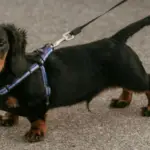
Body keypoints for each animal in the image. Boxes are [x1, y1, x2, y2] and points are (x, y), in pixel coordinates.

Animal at [0, 15, 150, 142]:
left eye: (2, 43)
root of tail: (116, 39)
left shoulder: (37, 101)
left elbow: (36, 118)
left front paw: (35, 132)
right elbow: (12, 111)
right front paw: (9, 118)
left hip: (133, 78)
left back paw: (148, 109)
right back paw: (122, 100)